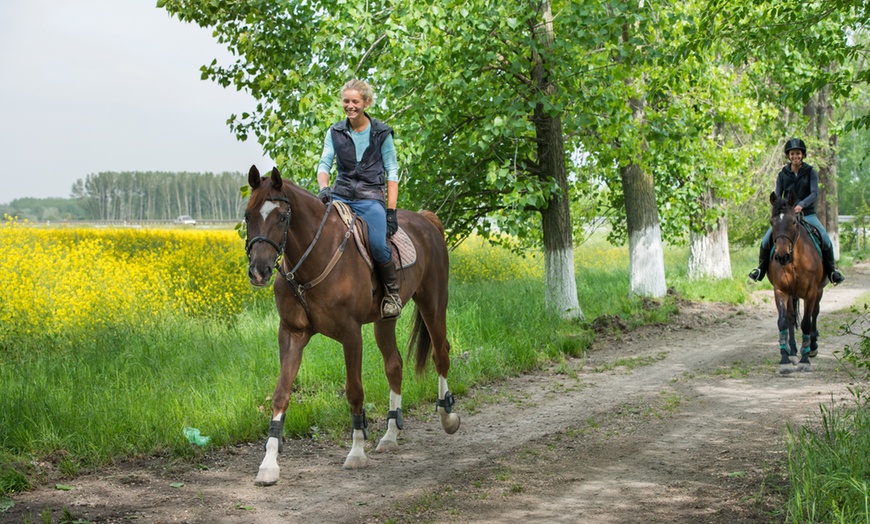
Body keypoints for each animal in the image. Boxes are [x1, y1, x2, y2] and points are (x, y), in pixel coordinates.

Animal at [245, 166, 464, 486]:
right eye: (248, 216)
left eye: (282, 217)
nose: (259, 271)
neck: (315, 258)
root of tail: (427, 220)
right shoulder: (292, 334)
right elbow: (281, 393)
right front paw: (269, 464)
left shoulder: (351, 334)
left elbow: (354, 391)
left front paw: (357, 452)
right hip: (385, 320)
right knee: (394, 365)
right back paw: (390, 435)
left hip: (433, 304)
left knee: (441, 355)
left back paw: (448, 417)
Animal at [768, 190, 828, 374]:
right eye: (772, 222)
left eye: (793, 222)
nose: (781, 257)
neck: (795, 260)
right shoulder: (781, 291)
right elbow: (783, 321)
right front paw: (785, 360)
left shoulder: (811, 292)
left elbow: (806, 323)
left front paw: (805, 360)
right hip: (792, 294)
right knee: (791, 317)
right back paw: (793, 351)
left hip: (818, 291)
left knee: (815, 313)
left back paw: (812, 348)